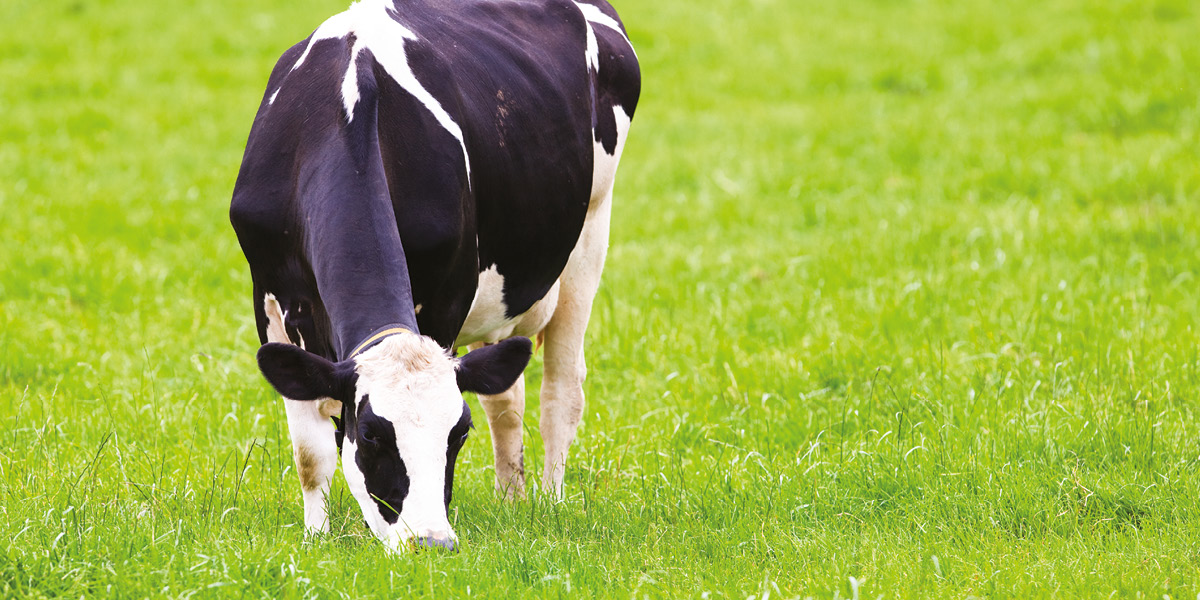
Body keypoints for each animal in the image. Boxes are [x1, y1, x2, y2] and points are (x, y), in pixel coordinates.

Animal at [229, 0, 639, 553]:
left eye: (457, 434)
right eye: (373, 434)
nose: (431, 542)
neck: (340, 113)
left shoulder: (448, 295)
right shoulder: (270, 294)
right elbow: (310, 452)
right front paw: (316, 539)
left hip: (591, 231)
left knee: (561, 389)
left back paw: (550, 501)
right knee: (506, 396)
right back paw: (512, 499)